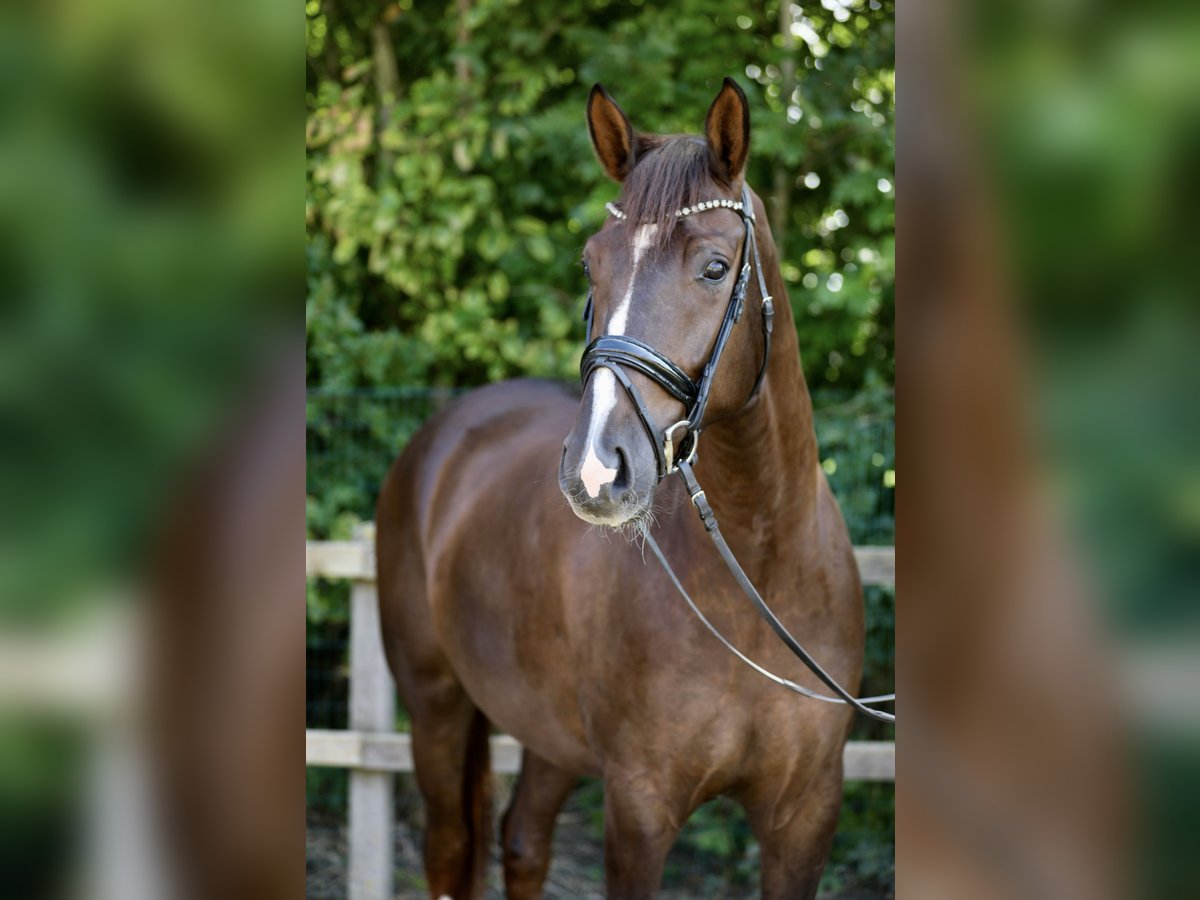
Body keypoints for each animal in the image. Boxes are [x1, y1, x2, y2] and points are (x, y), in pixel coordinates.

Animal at [374, 79, 864, 900]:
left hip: (547, 730)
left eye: (714, 267)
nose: (595, 470)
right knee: (450, 847)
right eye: (588, 266)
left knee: (522, 841)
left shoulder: (808, 815)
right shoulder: (639, 806)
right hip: (436, 705)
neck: (762, 570)